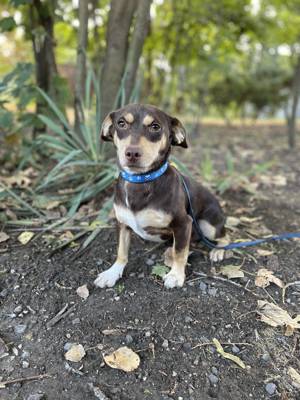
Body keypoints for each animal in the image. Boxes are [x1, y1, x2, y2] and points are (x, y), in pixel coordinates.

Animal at [94, 104, 227, 290]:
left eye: (155, 127)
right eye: (121, 123)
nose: (132, 153)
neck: (141, 181)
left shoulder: (184, 223)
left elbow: (180, 253)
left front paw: (176, 275)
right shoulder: (122, 223)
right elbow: (121, 251)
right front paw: (112, 273)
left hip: (207, 225)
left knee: (225, 235)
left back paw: (218, 250)